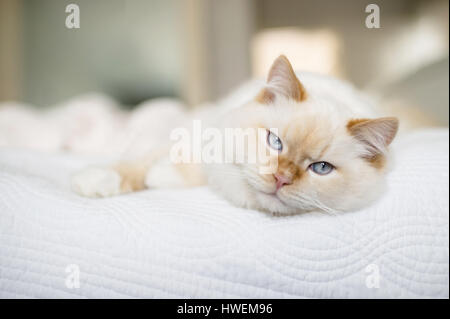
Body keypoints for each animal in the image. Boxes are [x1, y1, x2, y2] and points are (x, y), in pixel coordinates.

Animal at [72, 55, 400, 215]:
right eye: (274, 142)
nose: (281, 179)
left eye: (321, 168)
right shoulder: (191, 134)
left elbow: (184, 172)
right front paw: (96, 180)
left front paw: (163, 176)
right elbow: (134, 164)